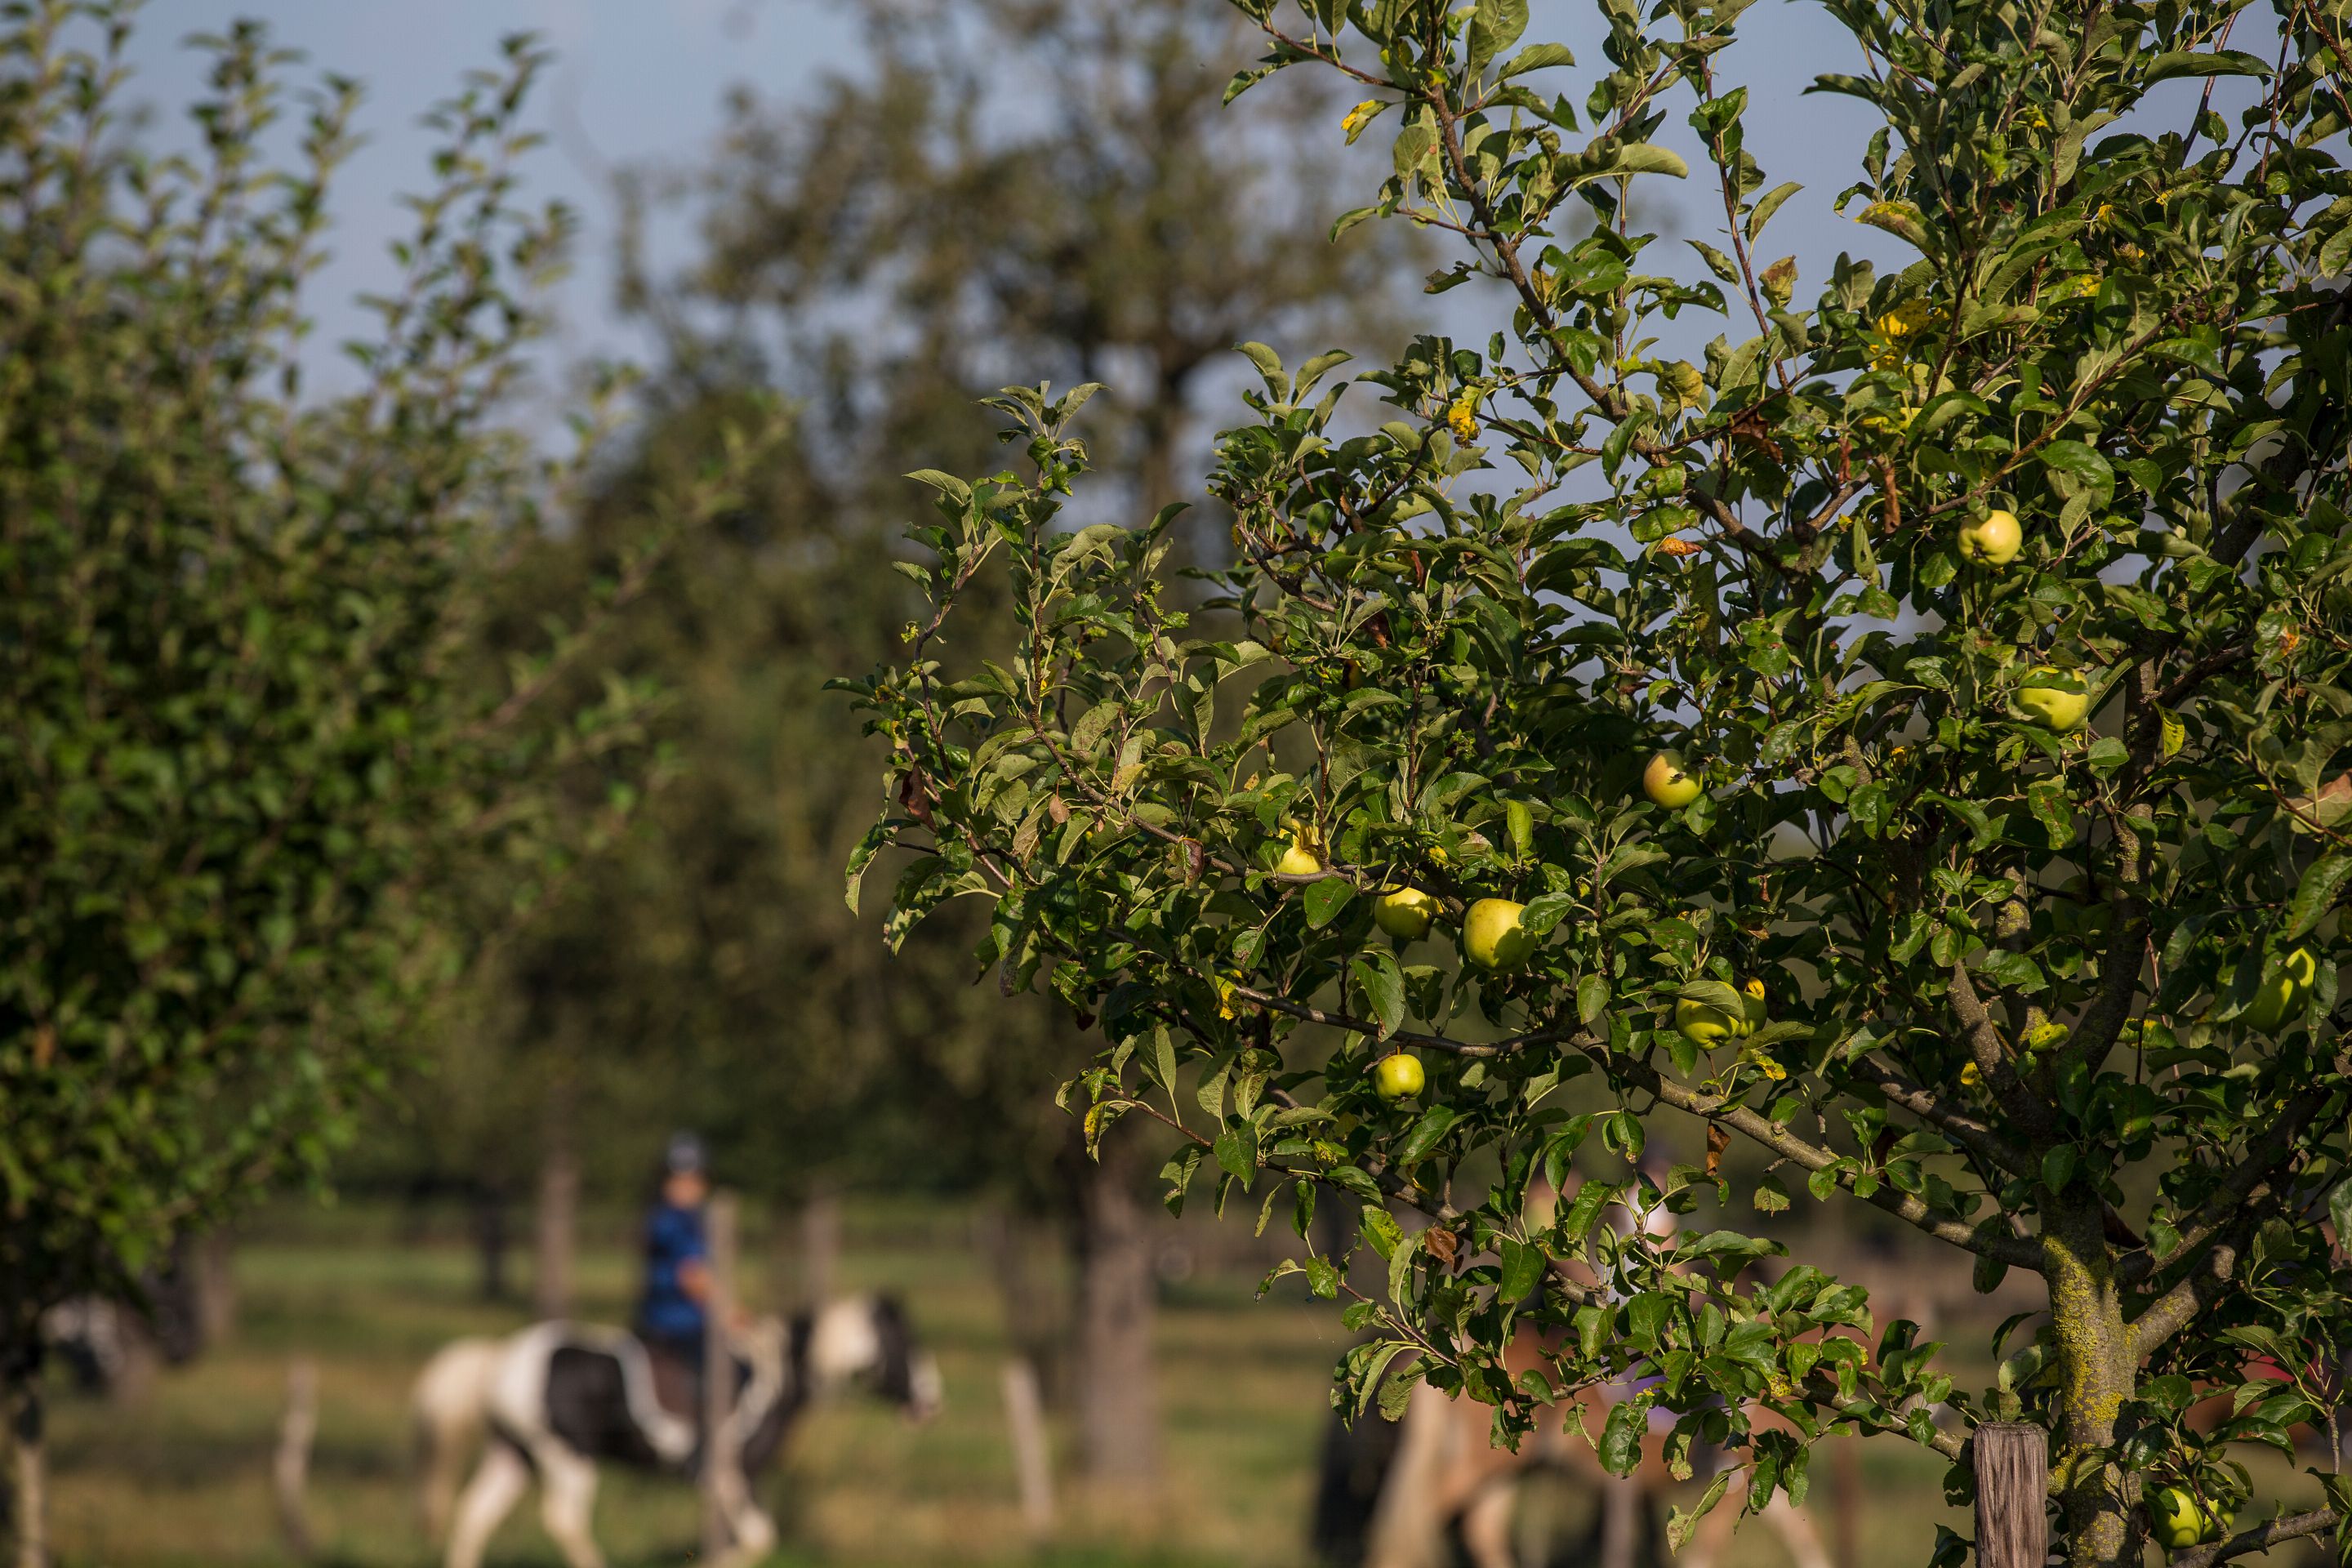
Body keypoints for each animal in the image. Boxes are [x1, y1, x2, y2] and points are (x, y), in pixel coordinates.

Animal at [413, 1297, 936, 1568]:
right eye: (907, 1344)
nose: (933, 1400)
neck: (774, 1374)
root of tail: (500, 1360)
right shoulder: (733, 1474)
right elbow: (759, 1539)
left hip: (513, 1454)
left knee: (474, 1516)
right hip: (568, 1456)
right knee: (564, 1520)